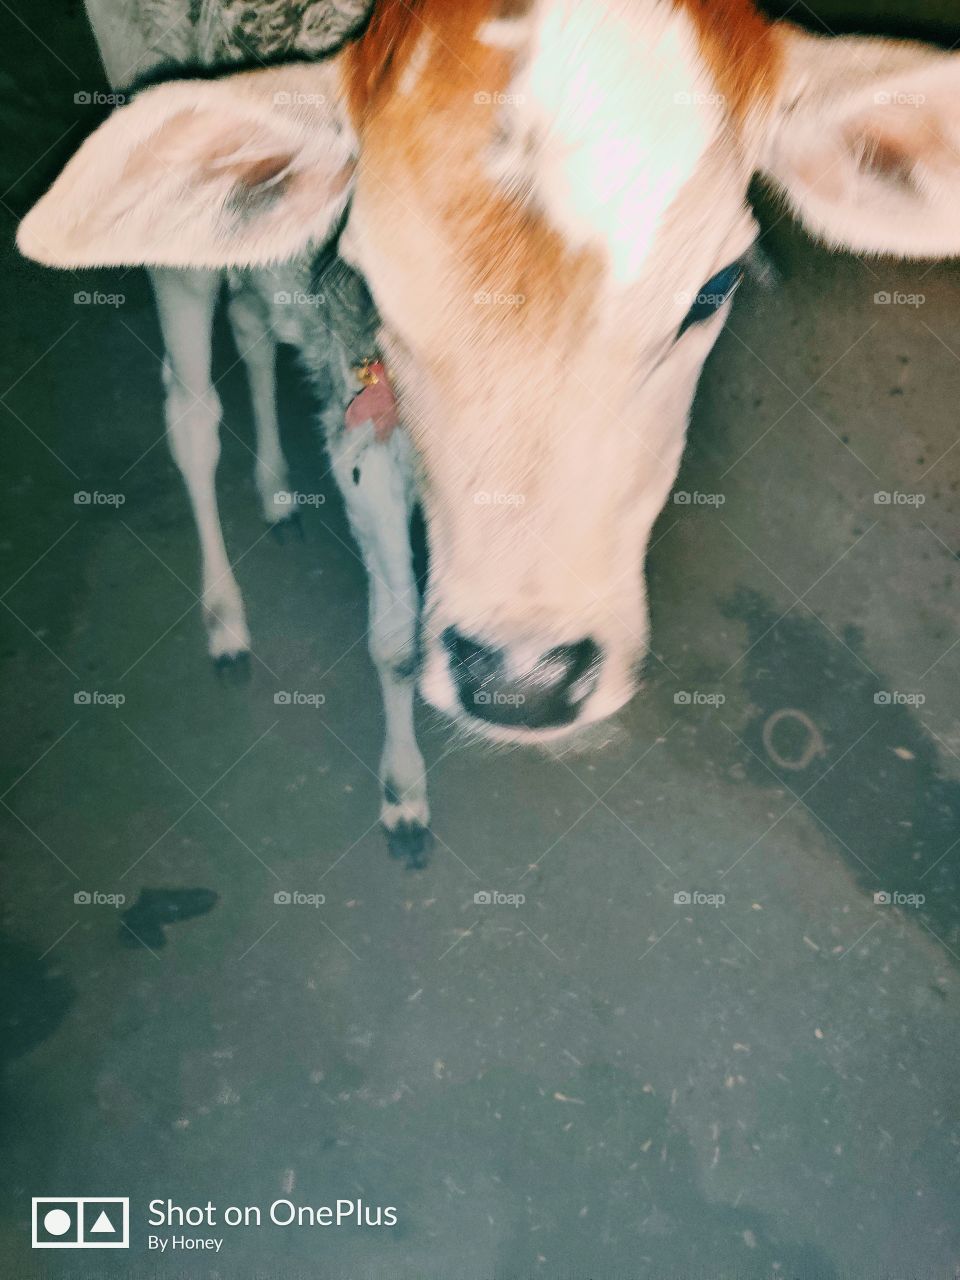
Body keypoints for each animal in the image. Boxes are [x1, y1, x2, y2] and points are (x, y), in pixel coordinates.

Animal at [19, 0, 960, 855]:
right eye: (377, 283)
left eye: (715, 286)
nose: (525, 680)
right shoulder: (366, 431)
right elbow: (394, 640)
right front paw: (403, 796)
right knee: (191, 417)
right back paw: (225, 621)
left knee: (252, 324)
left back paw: (278, 493)